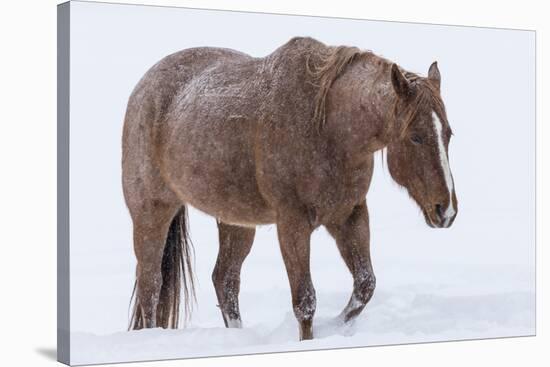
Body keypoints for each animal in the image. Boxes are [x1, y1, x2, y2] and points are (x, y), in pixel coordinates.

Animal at [123, 36, 460, 340]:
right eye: (415, 137)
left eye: (448, 133)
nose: (446, 210)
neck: (329, 130)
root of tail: (144, 86)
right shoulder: (292, 223)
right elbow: (305, 301)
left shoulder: (349, 215)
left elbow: (365, 285)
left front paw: (336, 327)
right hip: (151, 213)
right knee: (151, 285)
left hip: (236, 221)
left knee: (225, 280)